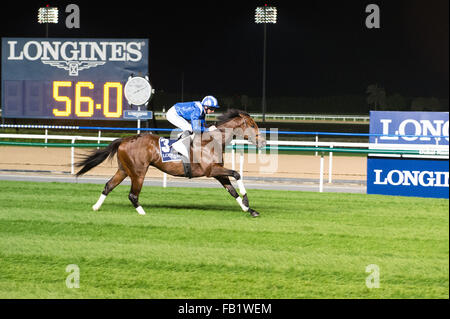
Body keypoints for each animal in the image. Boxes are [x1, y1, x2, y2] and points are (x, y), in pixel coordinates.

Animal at [76, 109, 268, 218]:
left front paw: (249, 209)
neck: (211, 141)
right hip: (138, 172)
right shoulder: (211, 170)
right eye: (252, 125)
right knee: (132, 195)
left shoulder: (218, 172)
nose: (263, 141)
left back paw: (95, 207)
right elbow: (237, 174)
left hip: (123, 170)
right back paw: (142, 212)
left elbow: (232, 191)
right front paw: (247, 201)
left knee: (108, 186)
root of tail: (123, 140)